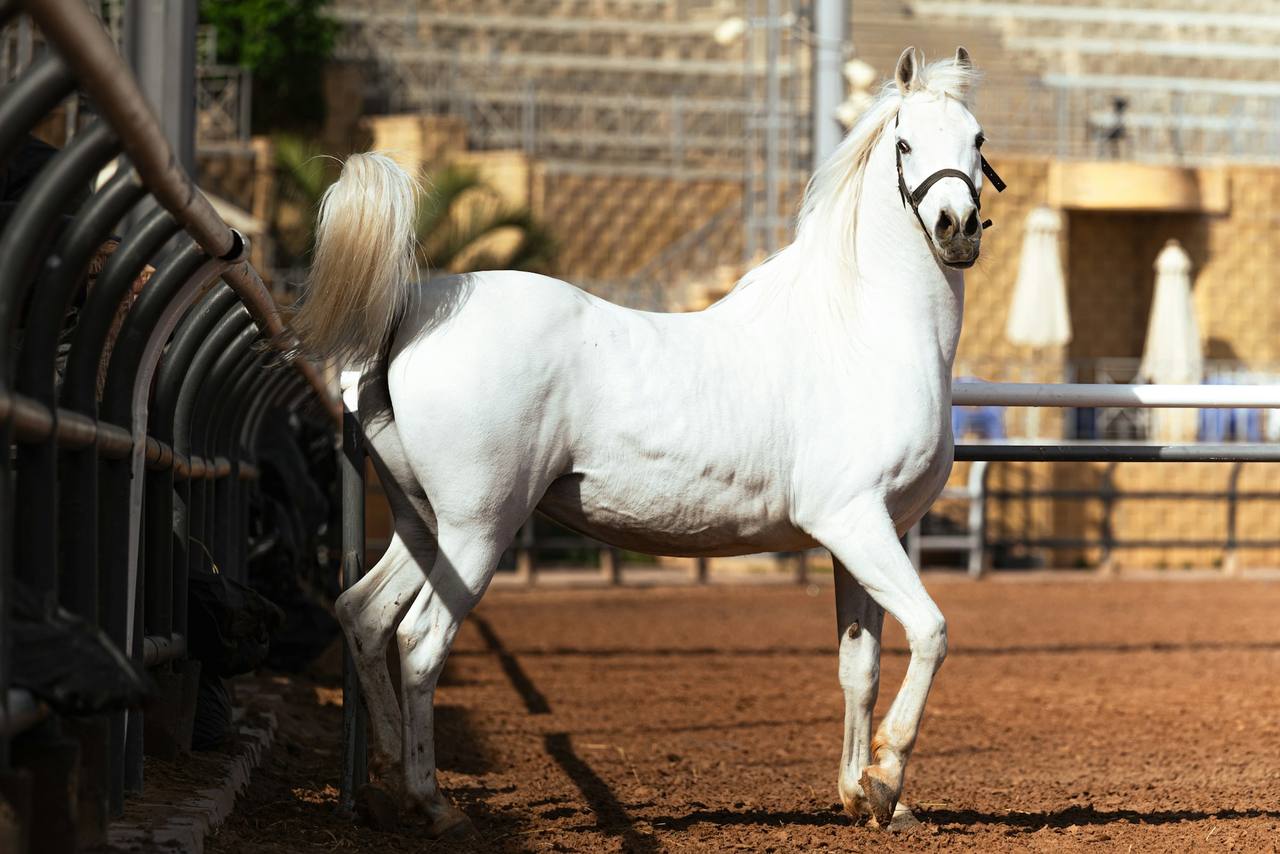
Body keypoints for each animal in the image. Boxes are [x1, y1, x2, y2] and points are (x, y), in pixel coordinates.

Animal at [297, 46, 999, 837]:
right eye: (905, 144)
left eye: (977, 139)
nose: (957, 229)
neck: (864, 330)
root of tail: (414, 310)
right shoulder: (854, 524)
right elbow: (933, 632)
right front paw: (886, 777)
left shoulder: (863, 538)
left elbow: (861, 665)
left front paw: (863, 794)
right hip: (478, 528)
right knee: (420, 644)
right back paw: (433, 804)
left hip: (422, 524)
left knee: (363, 616)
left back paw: (388, 786)